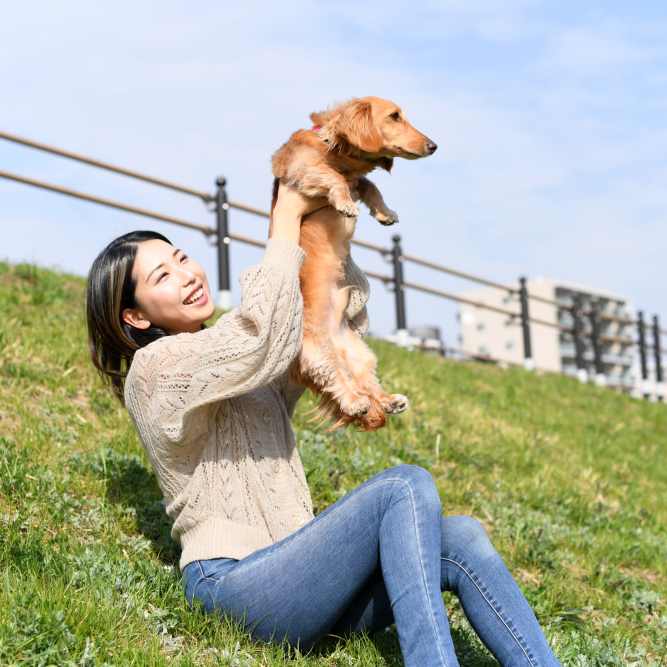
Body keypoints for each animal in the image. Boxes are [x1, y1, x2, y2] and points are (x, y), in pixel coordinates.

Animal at [270, 95, 438, 434]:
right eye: (395, 116)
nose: (433, 146)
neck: (334, 148)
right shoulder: (302, 168)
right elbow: (332, 176)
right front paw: (345, 203)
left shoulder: (358, 180)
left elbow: (370, 185)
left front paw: (385, 213)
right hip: (316, 355)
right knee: (337, 382)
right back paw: (355, 402)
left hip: (360, 355)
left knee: (365, 384)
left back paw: (389, 401)